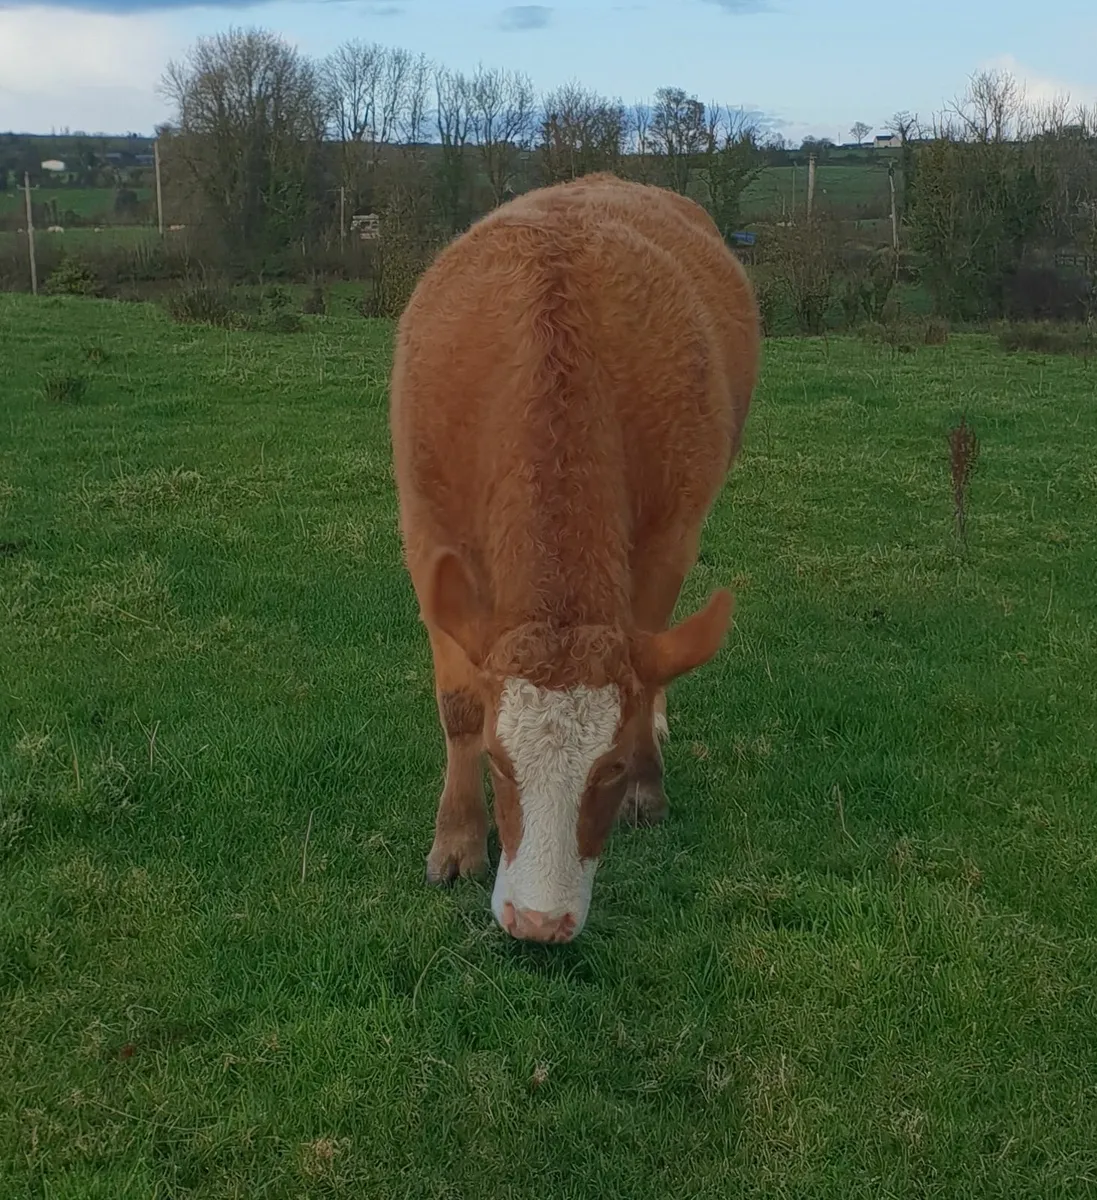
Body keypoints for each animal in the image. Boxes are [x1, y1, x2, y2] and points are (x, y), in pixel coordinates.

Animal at [389, 173, 760, 943]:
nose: (538, 922)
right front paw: (457, 837)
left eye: (609, 768)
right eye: (499, 762)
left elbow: (649, 661)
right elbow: (457, 702)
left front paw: (648, 779)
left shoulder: (668, 539)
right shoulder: (428, 536)